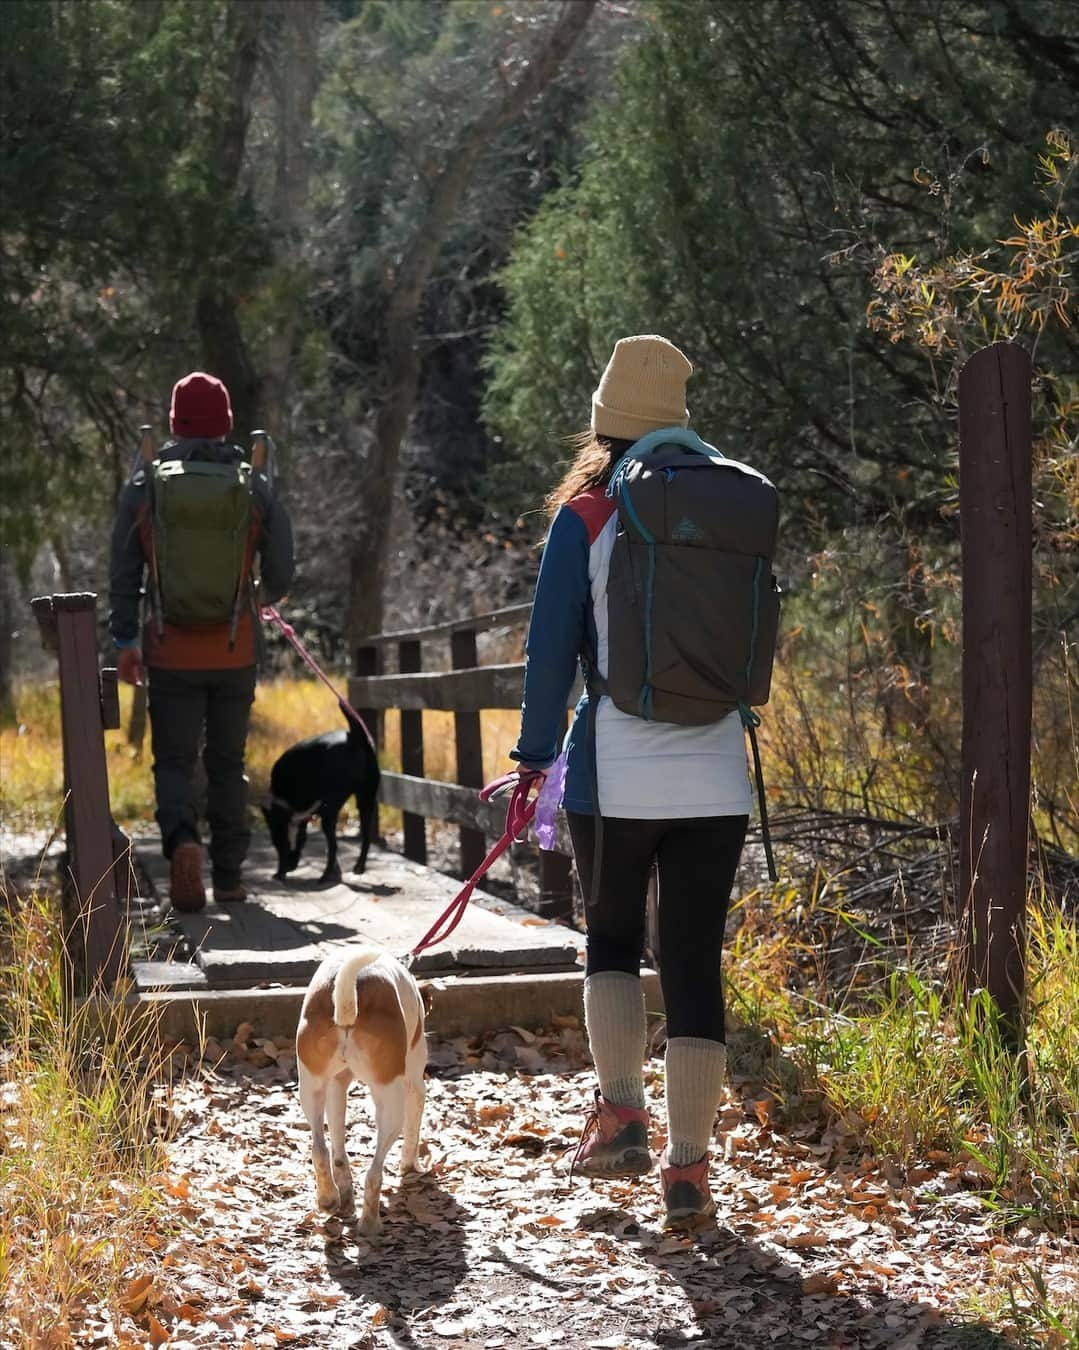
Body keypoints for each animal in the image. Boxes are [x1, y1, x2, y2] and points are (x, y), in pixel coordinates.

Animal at [261, 707, 380, 885]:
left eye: (275, 840)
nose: (288, 868)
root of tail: (356, 739)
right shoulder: (301, 820)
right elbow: (299, 841)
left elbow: (289, 846)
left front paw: (281, 871)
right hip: (366, 799)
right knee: (365, 837)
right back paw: (358, 867)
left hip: (331, 809)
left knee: (334, 845)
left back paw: (325, 876)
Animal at [299, 950, 429, 1236]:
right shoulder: (415, 1086)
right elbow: (413, 1134)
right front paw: (410, 1167)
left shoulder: (336, 1086)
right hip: (392, 1105)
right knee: (374, 1173)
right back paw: (369, 1223)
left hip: (312, 1087)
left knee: (322, 1151)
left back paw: (330, 1200)